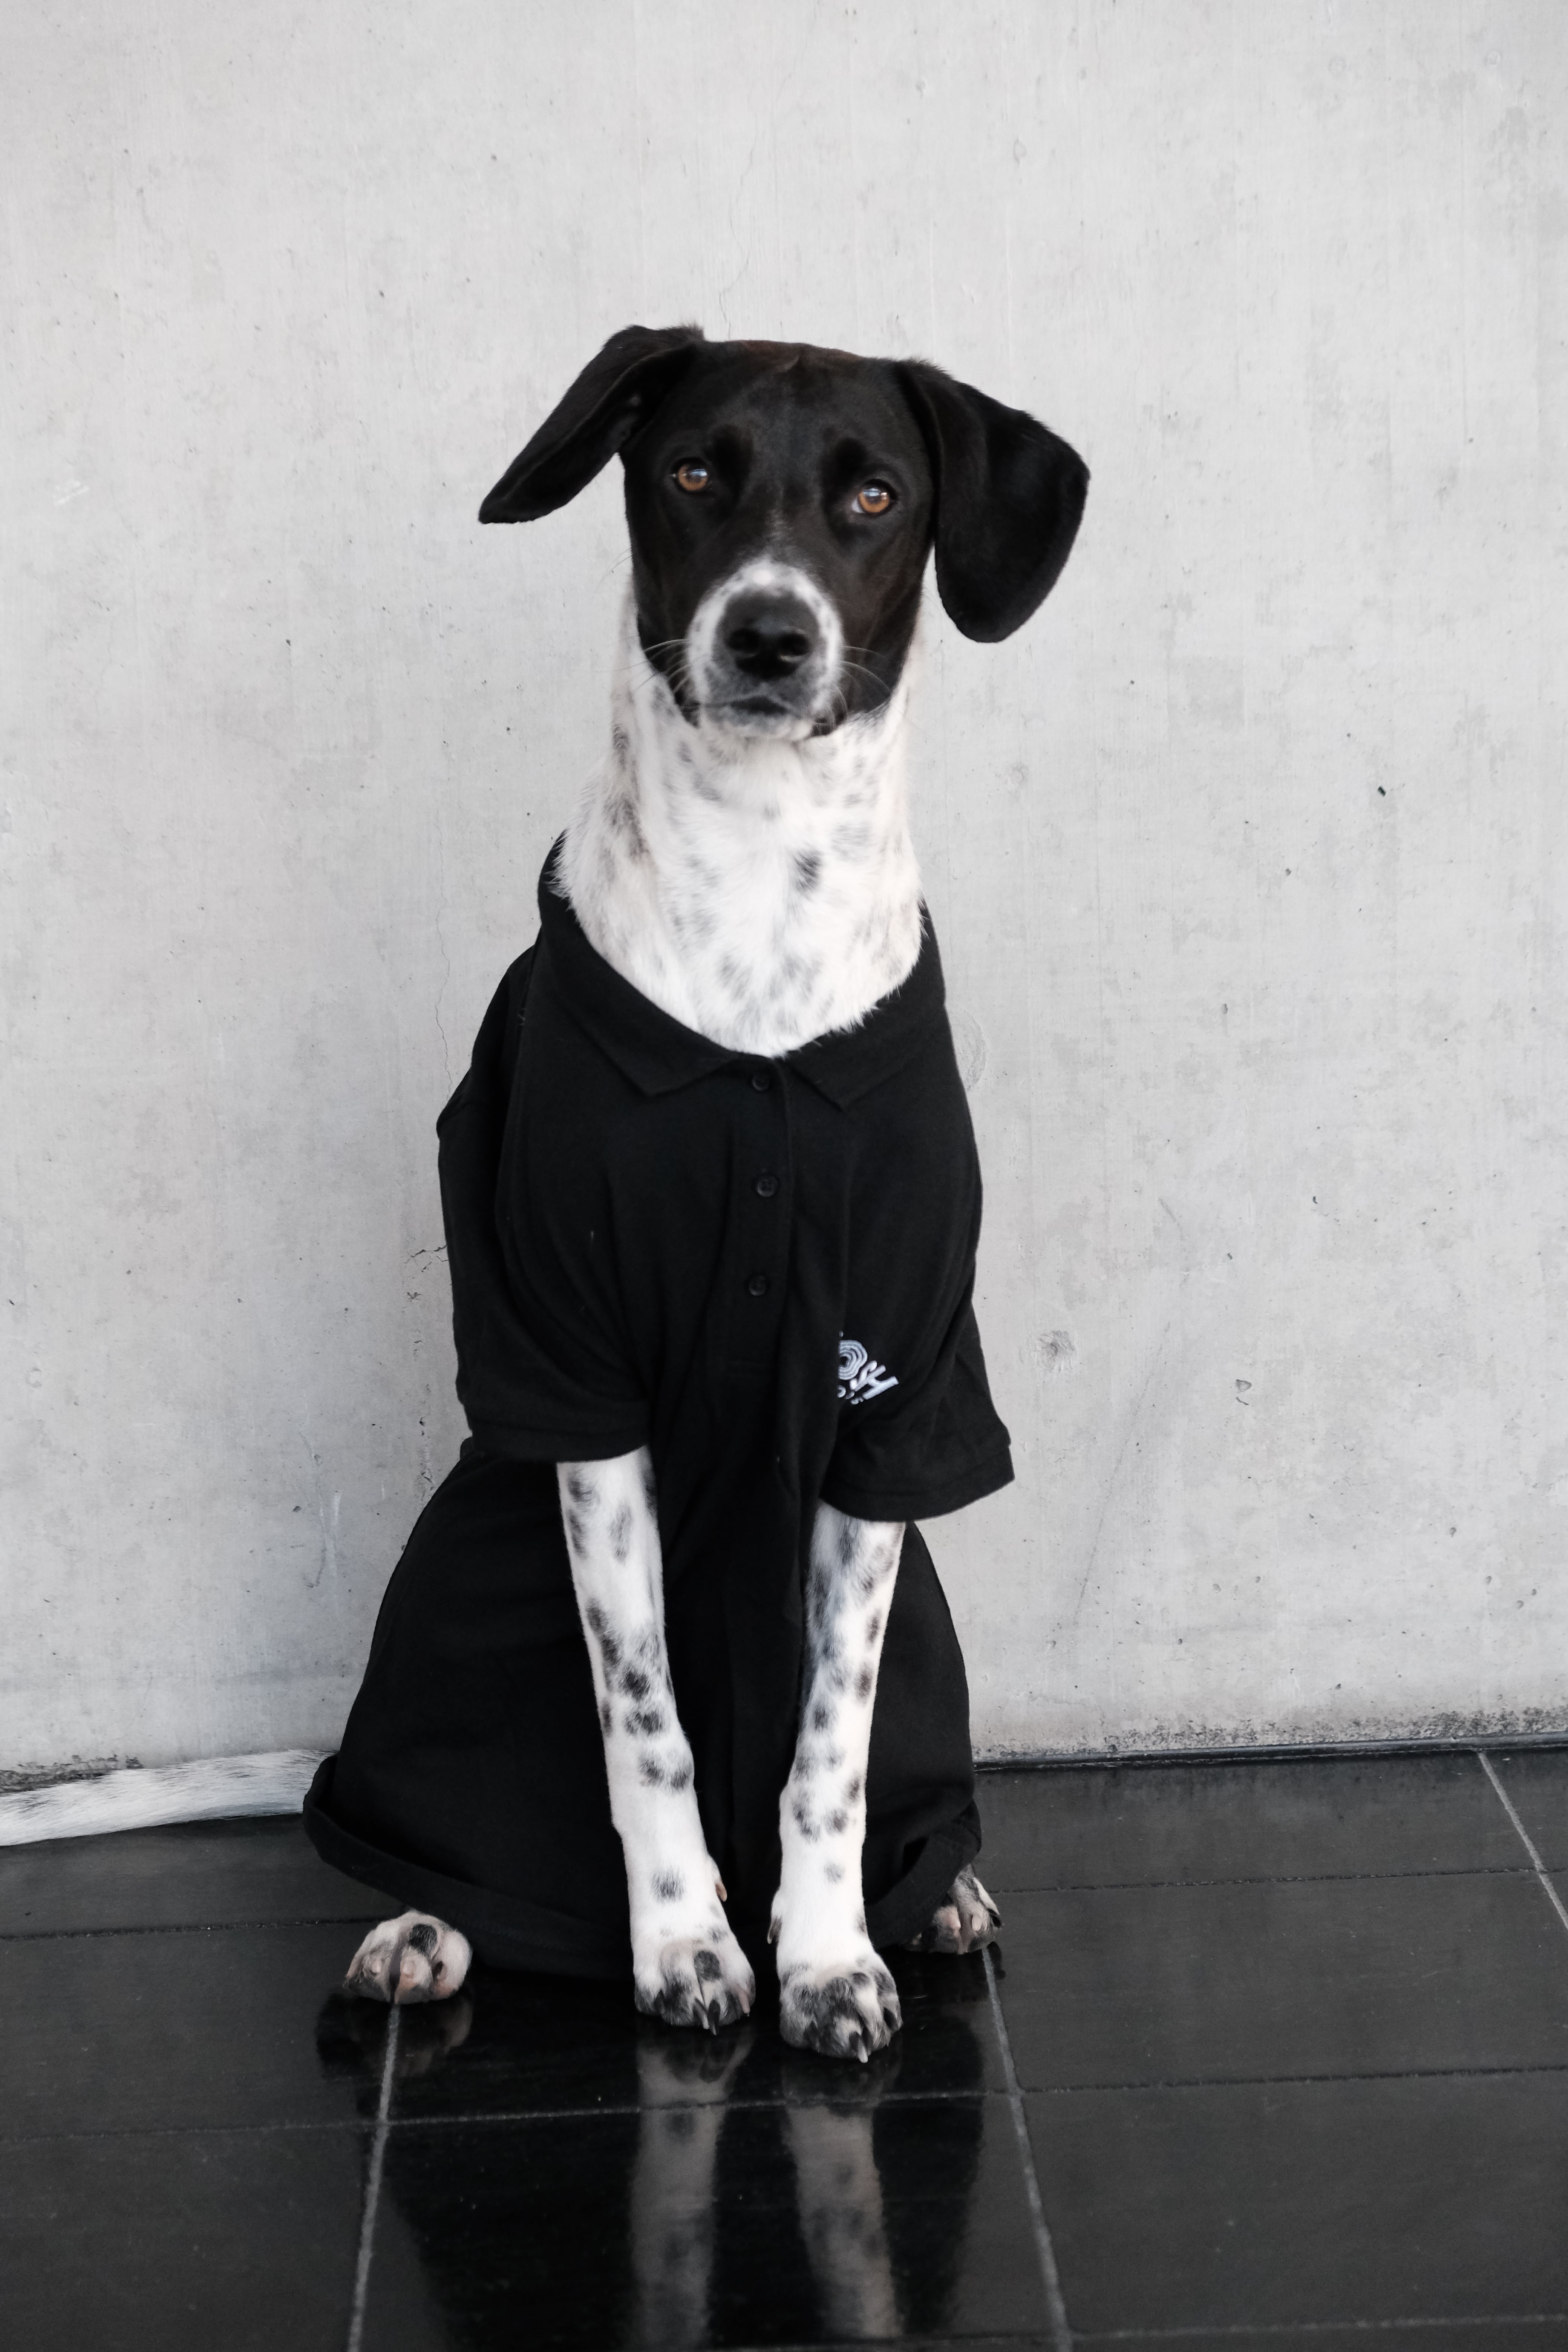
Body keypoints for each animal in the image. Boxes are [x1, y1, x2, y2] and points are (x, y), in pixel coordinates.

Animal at [320, 326, 1087, 2060]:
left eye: (873, 494)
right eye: (689, 471)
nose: (767, 636)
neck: (758, 889)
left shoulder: (894, 1409)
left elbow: (827, 1746)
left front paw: (826, 1955)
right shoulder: (578, 1386)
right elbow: (647, 1713)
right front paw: (686, 1946)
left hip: (932, 1623)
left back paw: (936, 1890)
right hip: (455, 1592)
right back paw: (414, 1921)